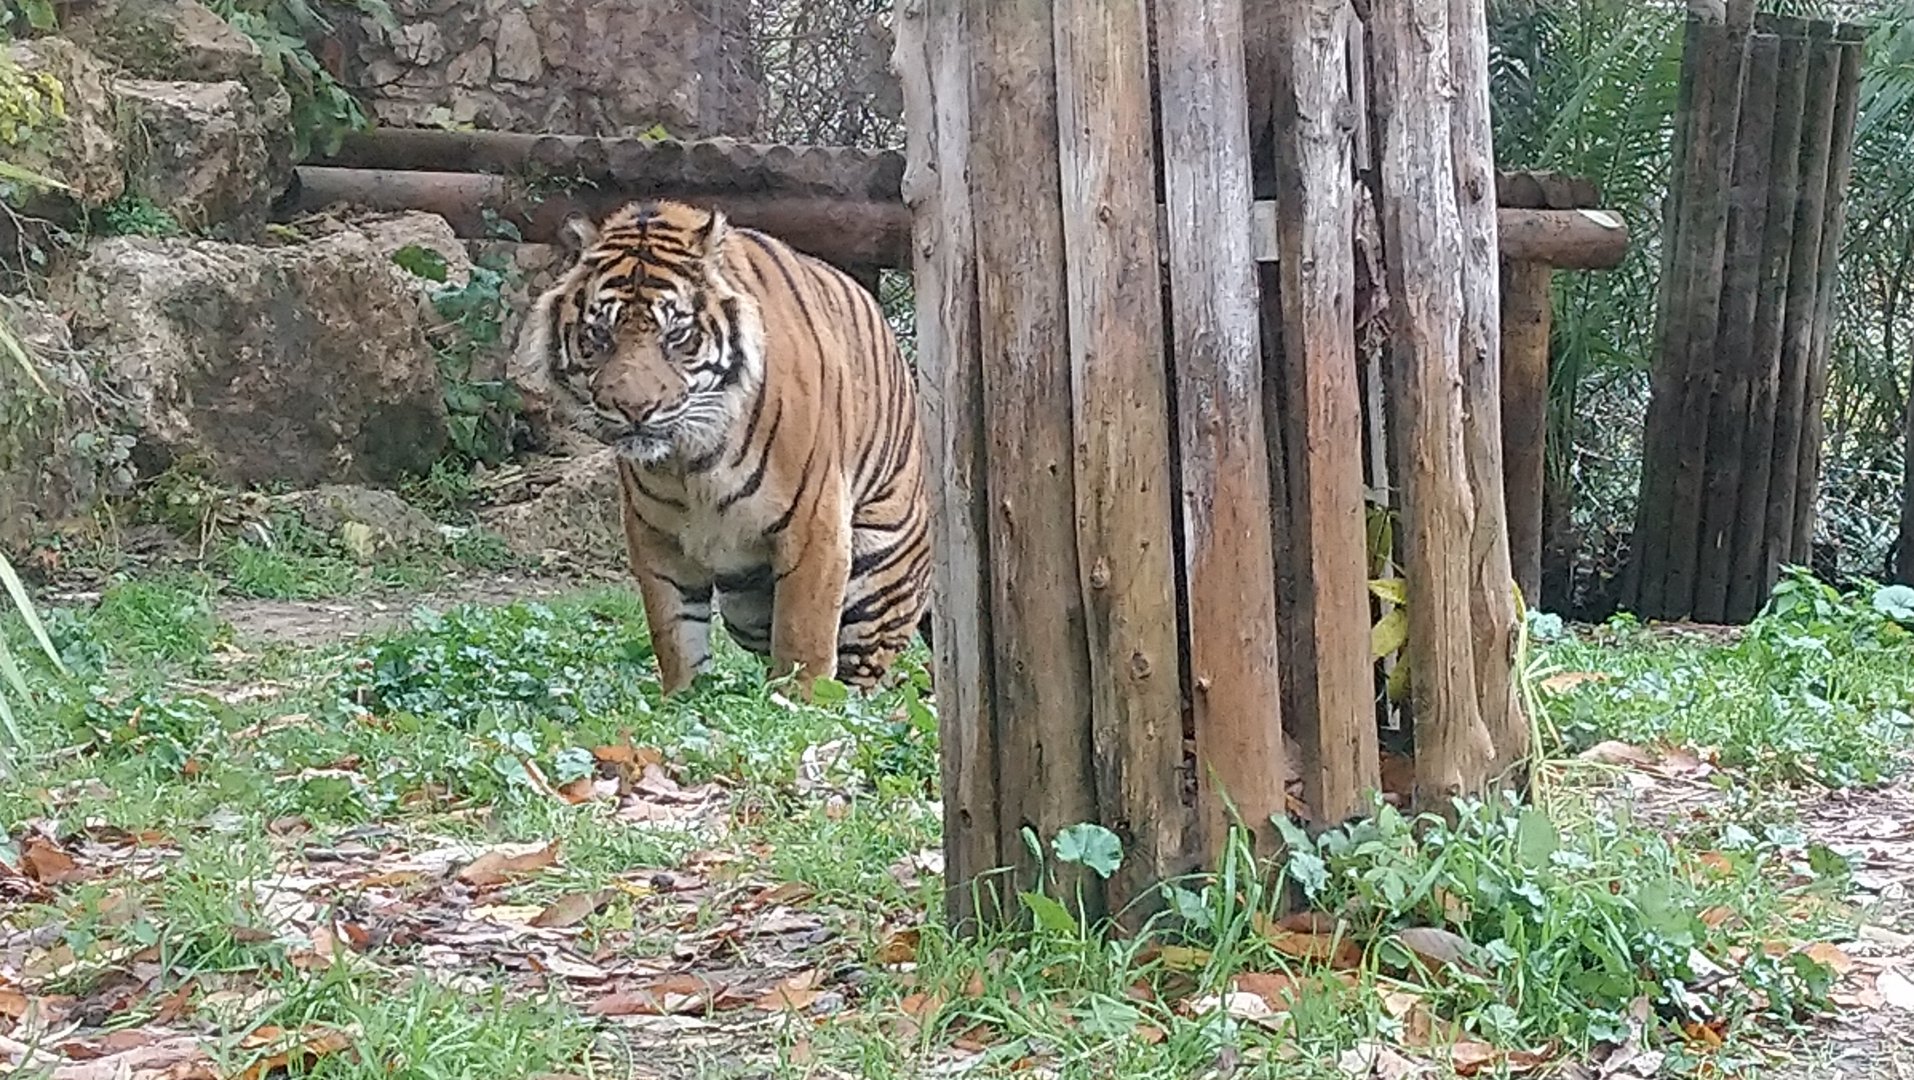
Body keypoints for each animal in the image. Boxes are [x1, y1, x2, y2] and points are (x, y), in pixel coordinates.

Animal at [513, 198, 934, 698]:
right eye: (599, 336)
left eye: (676, 335)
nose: (634, 410)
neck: (689, 462)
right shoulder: (655, 538)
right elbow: (675, 633)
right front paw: (683, 698)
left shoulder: (815, 526)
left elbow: (803, 636)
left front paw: (797, 701)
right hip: (744, 605)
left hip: (875, 579)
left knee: (863, 680)